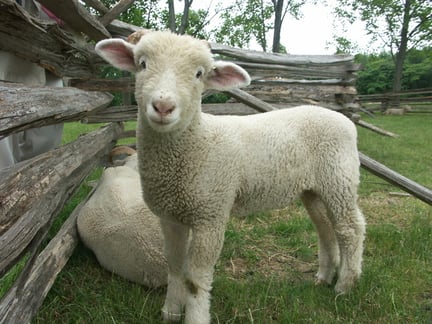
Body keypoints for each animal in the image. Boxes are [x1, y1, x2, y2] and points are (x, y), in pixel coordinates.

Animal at [96, 30, 366, 324]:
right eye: (142, 64)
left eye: (199, 74)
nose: (163, 106)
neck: (196, 143)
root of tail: (343, 120)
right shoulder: (170, 216)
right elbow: (174, 265)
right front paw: (170, 311)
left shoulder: (211, 214)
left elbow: (195, 278)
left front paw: (195, 317)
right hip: (313, 189)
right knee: (325, 229)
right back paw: (324, 277)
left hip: (338, 178)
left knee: (350, 229)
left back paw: (345, 285)